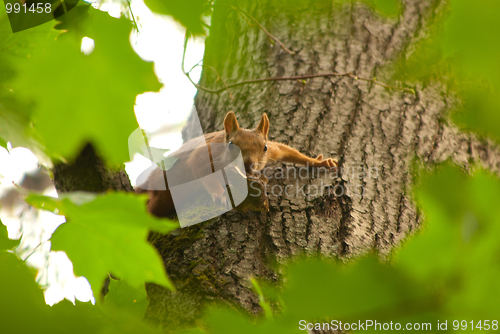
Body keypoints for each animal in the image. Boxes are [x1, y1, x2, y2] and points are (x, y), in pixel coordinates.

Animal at [137, 111, 338, 218]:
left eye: (264, 147)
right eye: (231, 144)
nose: (248, 164)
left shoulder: (273, 151)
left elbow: (287, 151)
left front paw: (319, 162)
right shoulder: (203, 156)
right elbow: (204, 174)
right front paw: (220, 194)